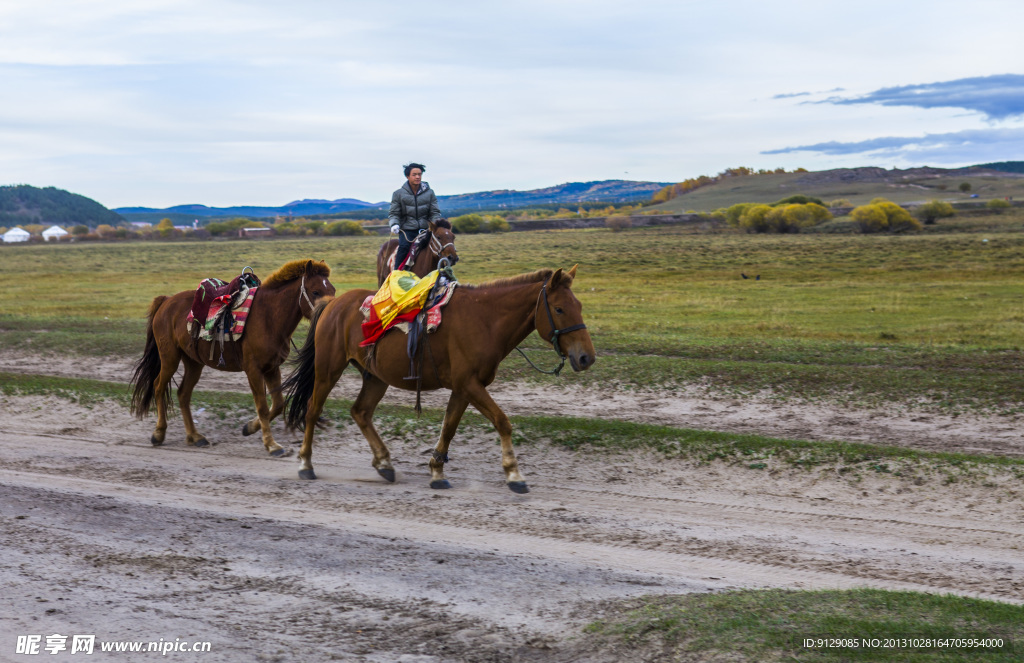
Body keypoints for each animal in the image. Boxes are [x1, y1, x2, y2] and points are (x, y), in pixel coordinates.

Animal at [127, 259, 335, 457]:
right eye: (315, 291)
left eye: (332, 290)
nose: (329, 315)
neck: (269, 317)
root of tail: (166, 301)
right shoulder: (253, 370)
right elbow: (263, 407)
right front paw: (272, 445)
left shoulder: (271, 368)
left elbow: (277, 404)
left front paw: (249, 428)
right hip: (169, 357)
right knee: (158, 386)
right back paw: (159, 433)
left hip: (193, 362)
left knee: (183, 394)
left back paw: (195, 436)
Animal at [284, 266, 598, 491]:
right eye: (559, 308)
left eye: (580, 306)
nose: (586, 357)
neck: (485, 320)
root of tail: (332, 303)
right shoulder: (470, 385)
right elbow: (502, 421)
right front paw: (514, 473)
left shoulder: (464, 388)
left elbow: (449, 428)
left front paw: (436, 471)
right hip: (328, 369)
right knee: (312, 410)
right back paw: (306, 464)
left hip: (375, 376)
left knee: (360, 412)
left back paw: (384, 462)